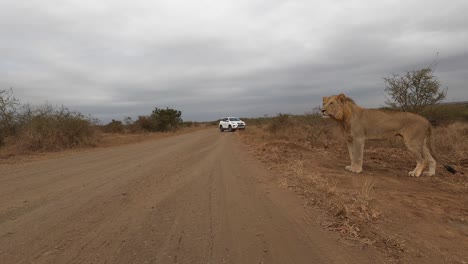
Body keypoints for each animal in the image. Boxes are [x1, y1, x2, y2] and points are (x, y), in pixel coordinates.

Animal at [320, 93, 456, 177]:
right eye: (324, 103)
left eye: (331, 103)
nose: (322, 110)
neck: (343, 119)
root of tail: (426, 120)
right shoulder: (349, 140)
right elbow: (352, 155)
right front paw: (351, 167)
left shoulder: (359, 139)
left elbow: (358, 156)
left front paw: (357, 170)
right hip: (420, 142)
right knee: (431, 159)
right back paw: (430, 174)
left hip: (411, 142)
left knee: (423, 159)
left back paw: (415, 173)